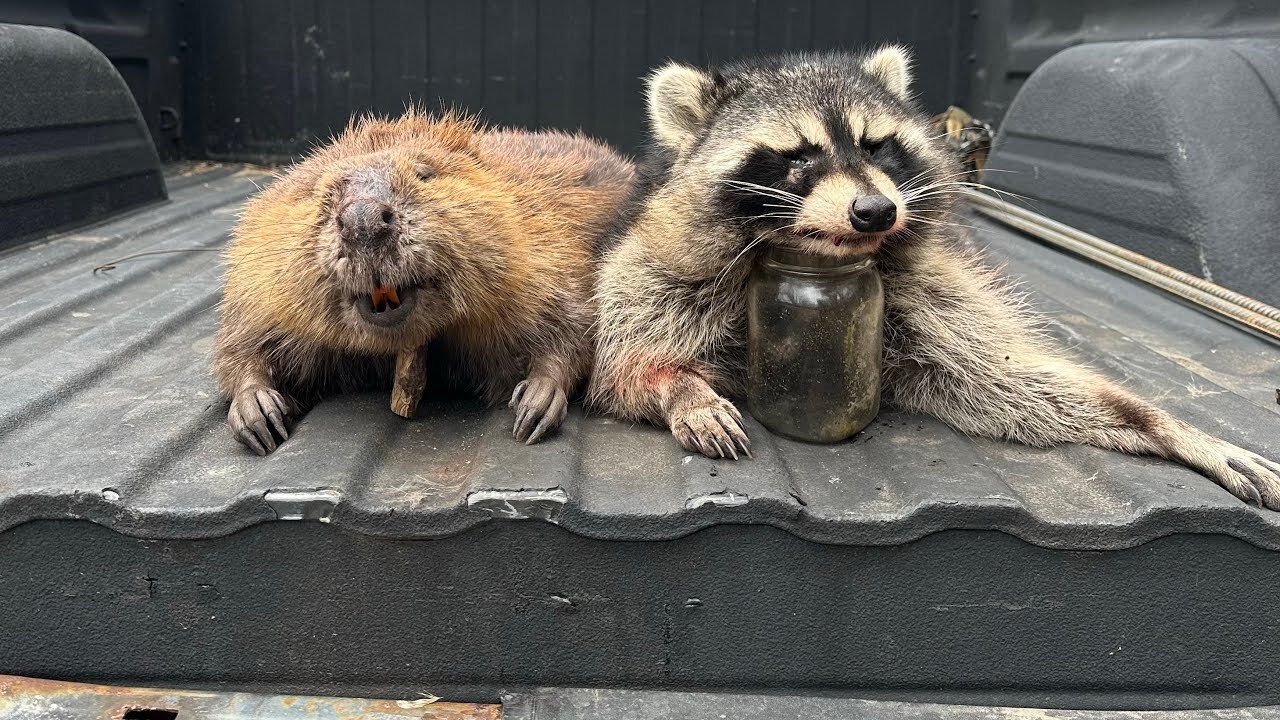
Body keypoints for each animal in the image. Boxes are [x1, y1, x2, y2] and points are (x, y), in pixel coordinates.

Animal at [213, 108, 634, 450]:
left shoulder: (545, 245)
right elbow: (239, 341)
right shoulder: (261, 281)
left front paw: (535, 405)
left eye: (424, 174)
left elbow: (572, 326)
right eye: (323, 192)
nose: (364, 219)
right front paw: (258, 414)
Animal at [588, 46, 1280, 504]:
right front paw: (682, 388)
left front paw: (1166, 426)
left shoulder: (927, 291)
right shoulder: (649, 271)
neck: (806, 254)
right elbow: (622, 371)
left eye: (876, 145)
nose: (875, 211)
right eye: (800, 156)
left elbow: (1017, 385)